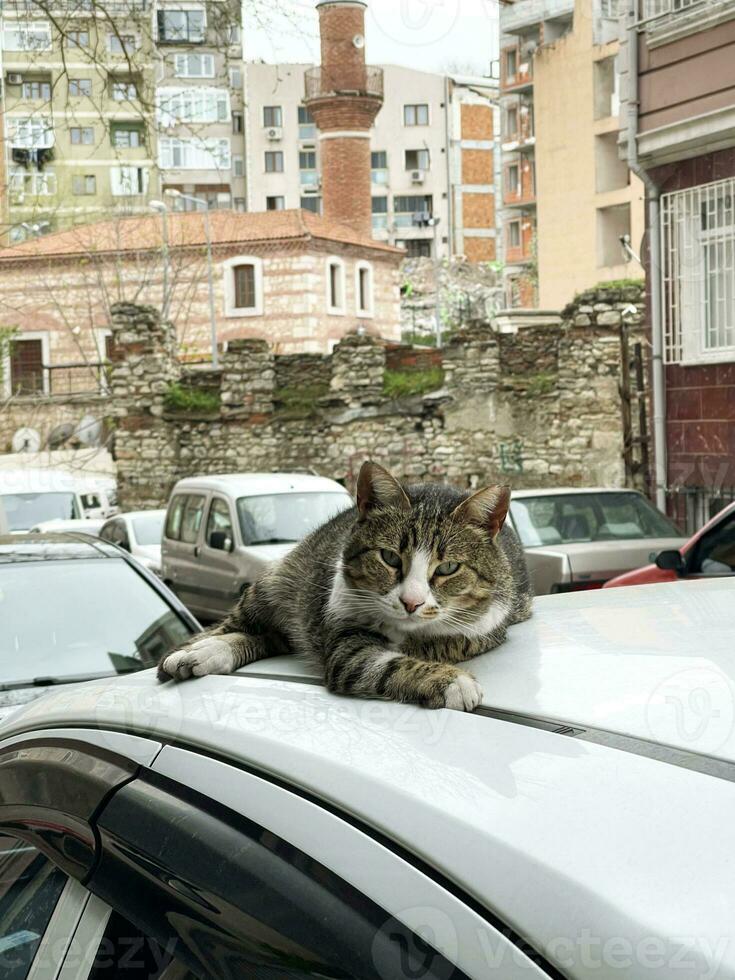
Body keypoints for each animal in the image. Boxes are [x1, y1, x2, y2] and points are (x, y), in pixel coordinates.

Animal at [158, 460, 532, 712]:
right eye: (389, 557)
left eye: (449, 568)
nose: (411, 602)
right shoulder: (344, 641)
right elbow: (385, 663)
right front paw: (451, 681)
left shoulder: (487, 626)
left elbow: (446, 641)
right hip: (272, 585)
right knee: (234, 627)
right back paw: (197, 651)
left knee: (271, 638)